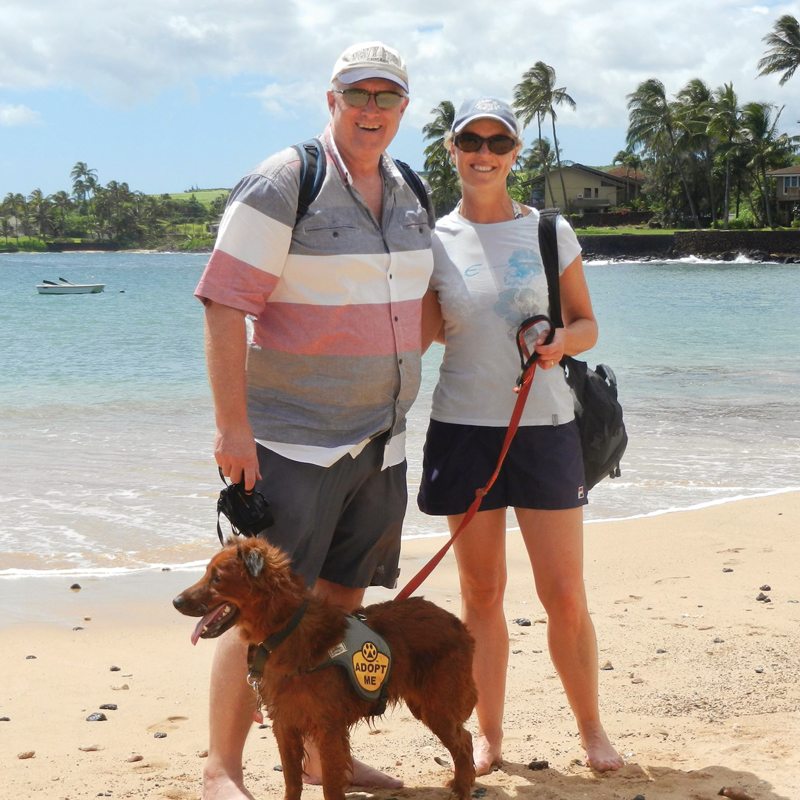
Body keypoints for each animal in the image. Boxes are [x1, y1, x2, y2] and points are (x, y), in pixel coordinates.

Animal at [175, 536, 476, 800]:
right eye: (207, 573)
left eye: (217, 578)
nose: (176, 602)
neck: (285, 631)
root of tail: (457, 624)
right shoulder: (285, 725)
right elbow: (292, 781)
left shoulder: (328, 728)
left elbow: (331, 787)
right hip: (423, 703)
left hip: (436, 705)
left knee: (464, 740)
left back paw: (462, 788)